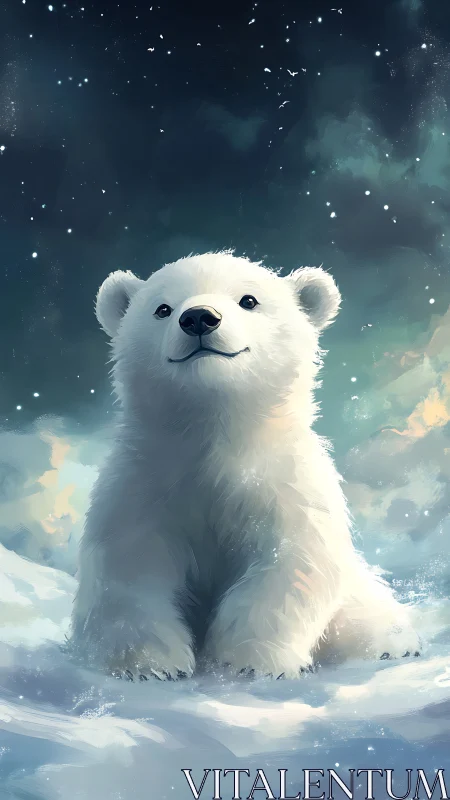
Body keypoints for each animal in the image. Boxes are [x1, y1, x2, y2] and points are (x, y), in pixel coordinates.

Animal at [71, 250, 421, 680]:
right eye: (162, 308)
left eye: (248, 300)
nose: (198, 317)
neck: (216, 434)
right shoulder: (144, 485)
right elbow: (134, 564)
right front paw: (151, 664)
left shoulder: (282, 486)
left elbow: (287, 564)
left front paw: (251, 663)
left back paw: (390, 644)